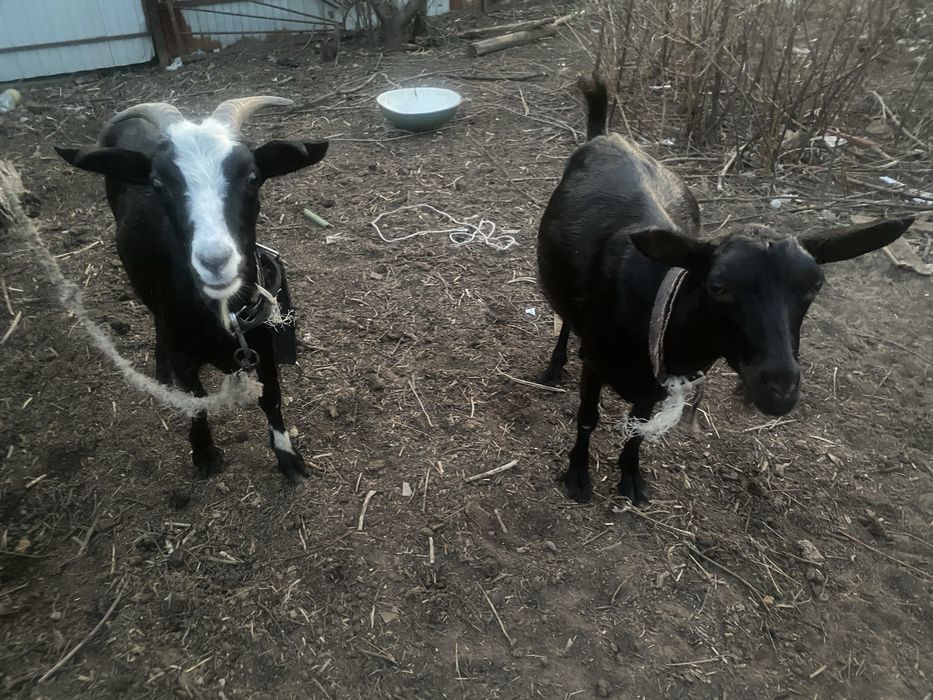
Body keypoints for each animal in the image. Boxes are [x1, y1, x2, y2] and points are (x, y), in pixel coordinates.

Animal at [56, 97, 328, 481]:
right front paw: (203, 453)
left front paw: (288, 456)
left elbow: (271, 396)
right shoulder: (184, 354)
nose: (215, 260)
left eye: (253, 177)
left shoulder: (262, 343)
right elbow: (196, 402)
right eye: (157, 183)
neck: (222, 319)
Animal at [537, 75, 913, 505]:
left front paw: (631, 477)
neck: (657, 311)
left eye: (816, 285)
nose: (781, 387)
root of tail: (605, 135)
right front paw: (577, 476)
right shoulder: (596, 362)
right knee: (567, 319)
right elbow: (587, 417)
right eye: (717, 286)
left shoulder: (658, 385)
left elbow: (638, 429)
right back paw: (554, 366)